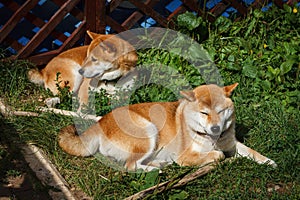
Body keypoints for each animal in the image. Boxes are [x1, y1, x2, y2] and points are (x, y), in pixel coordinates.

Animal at [57, 83, 276, 170]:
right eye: (204, 113)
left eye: (221, 111)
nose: (215, 129)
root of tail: (101, 121)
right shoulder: (185, 156)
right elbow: (218, 155)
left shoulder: (232, 143)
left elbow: (251, 152)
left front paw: (268, 161)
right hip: (149, 131)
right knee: (130, 165)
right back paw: (154, 170)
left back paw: (158, 164)